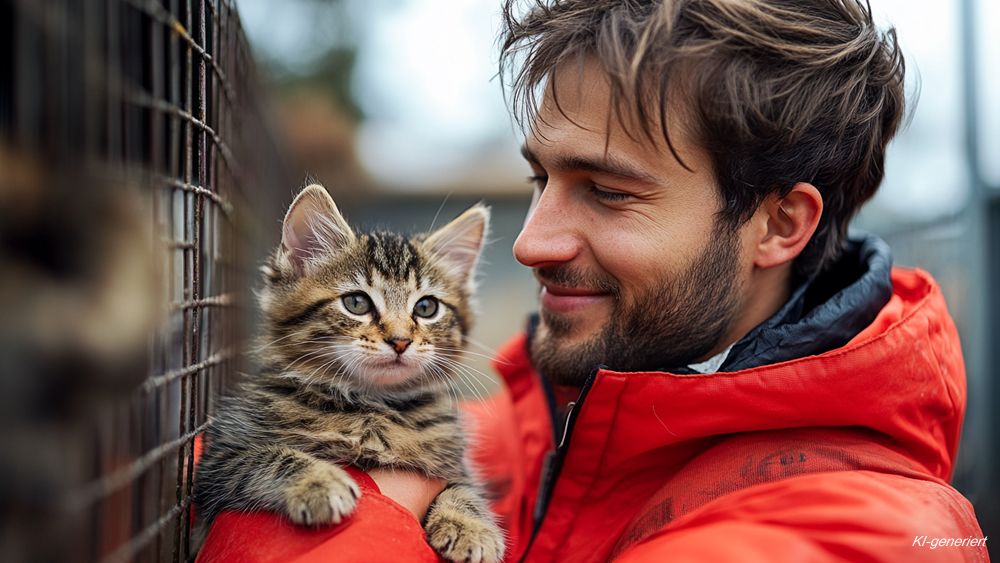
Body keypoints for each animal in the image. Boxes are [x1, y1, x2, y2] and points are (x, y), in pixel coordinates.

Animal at [193, 185, 508, 563]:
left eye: (426, 307)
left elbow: (464, 490)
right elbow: (267, 456)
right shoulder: (217, 461)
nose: (400, 340)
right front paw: (318, 481)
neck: (372, 405)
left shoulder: (453, 464)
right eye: (357, 303)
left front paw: (469, 525)